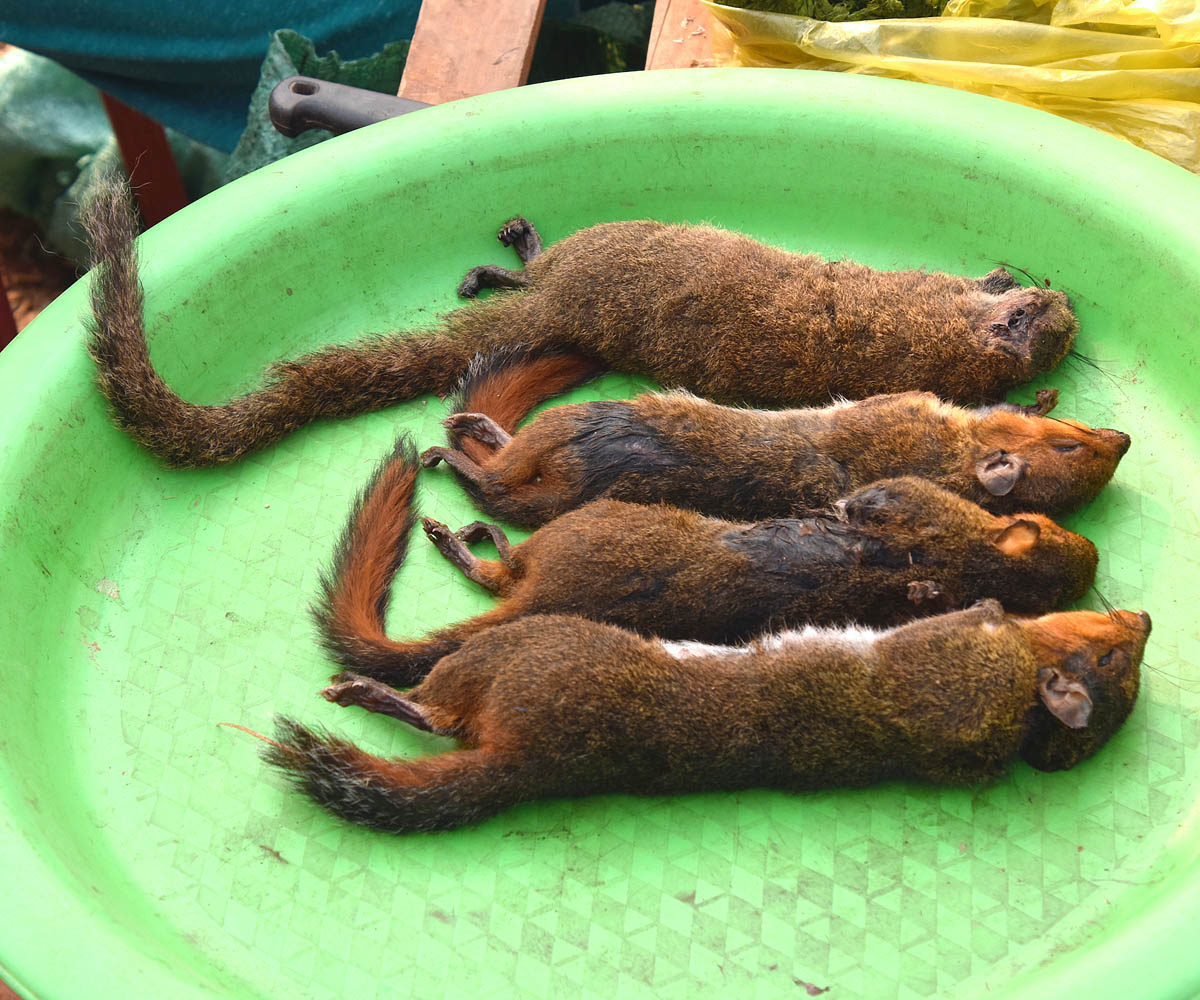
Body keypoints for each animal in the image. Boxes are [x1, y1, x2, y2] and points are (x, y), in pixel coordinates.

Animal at [82, 179, 1078, 467]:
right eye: (1048, 314)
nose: (1066, 306)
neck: (941, 340)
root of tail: (565, 308)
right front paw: (998, 269)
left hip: (590, 261)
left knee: (534, 273)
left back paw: (509, 260)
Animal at [261, 601, 1151, 833]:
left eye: (1110, 663)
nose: (1142, 618)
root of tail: (524, 764)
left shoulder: (950, 664)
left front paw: (996, 607)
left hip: (517, 653)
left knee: (436, 715)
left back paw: (366, 693)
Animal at [316, 438, 1098, 688]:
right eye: (1061, 533)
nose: (1091, 552)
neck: (972, 559)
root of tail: (546, 596)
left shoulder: (908, 498)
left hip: (579, 530)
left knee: (499, 567)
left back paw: (461, 528)